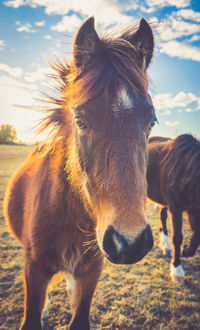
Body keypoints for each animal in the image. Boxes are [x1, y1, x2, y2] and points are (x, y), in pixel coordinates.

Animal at [147, 135, 200, 282]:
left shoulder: (194, 210)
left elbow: (197, 236)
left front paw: (186, 250)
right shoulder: (176, 208)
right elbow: (177, 237)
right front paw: (177, 270)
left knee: (162, 216)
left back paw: (165, 245)